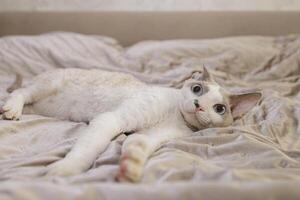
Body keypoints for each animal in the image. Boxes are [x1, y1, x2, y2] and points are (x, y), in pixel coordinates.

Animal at [0, 66, 262, 182]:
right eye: (197, 89)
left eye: (219, 109)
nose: (198, 104)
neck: (175, 116)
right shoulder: (112, 119)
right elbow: (86, 150)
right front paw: (65, 170)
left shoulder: (148, 136)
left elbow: (137, 145)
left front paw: (129, 169)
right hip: (46, 86)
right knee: (20, 92)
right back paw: (12, 109)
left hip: (41, 106)